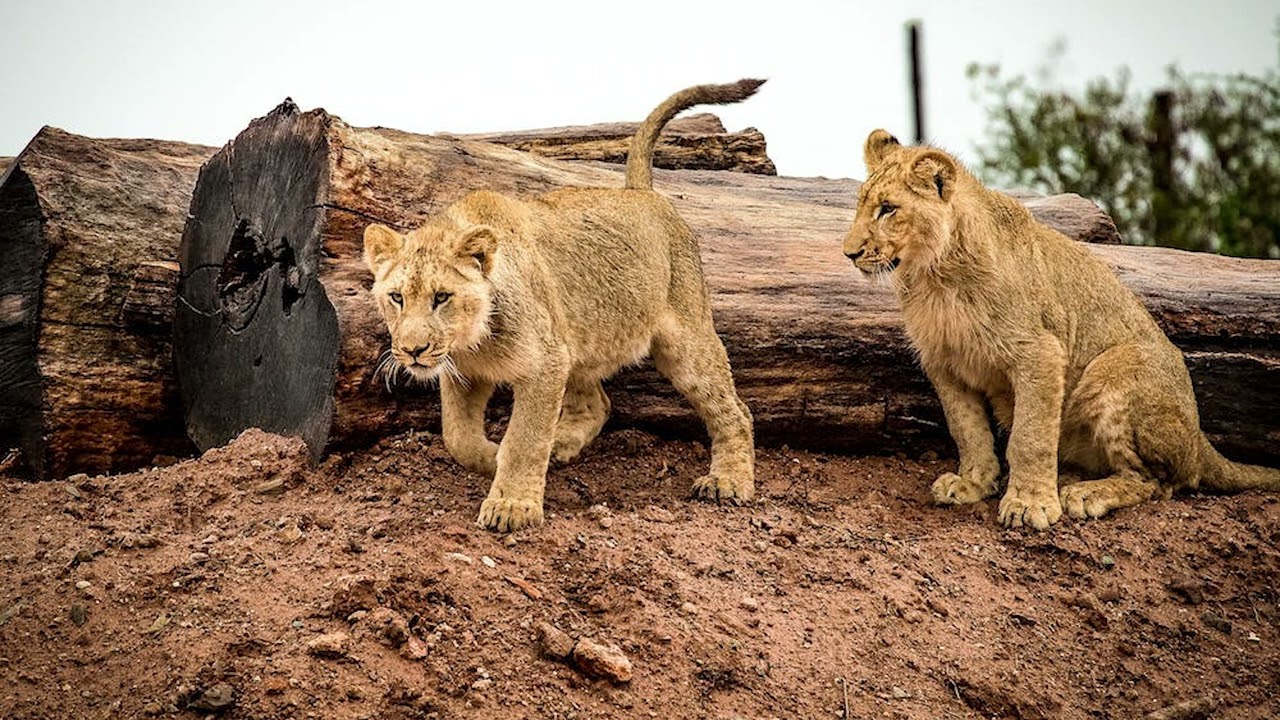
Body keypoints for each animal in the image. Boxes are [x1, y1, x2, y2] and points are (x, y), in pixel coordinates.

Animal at [362, 80, 761, 532]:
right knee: (598, 406)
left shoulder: (545, 363)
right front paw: (491, 458)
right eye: (396, 297)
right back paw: (561, 446)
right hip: (576, 341)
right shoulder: (466, 372)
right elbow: (456, 437)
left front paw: (511, 505)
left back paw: (728, 482)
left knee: (735, 410)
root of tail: (640, 193)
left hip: (684, 339)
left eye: (441, 297)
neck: (474, 341)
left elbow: (524, 438)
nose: (412, 351)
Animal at [841, 129, 1280, 530]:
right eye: (863, 205)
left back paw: (1085, 494)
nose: (849, 253)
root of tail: (1200, 438)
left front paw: (1029, 503)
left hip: (1117, 369)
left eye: (888, 208)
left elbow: (1029, 436)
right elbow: (967, 430)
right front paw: (973, 484)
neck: (934, 277)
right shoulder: (944, 363)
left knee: (1159, 482)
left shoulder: (1040, 352)